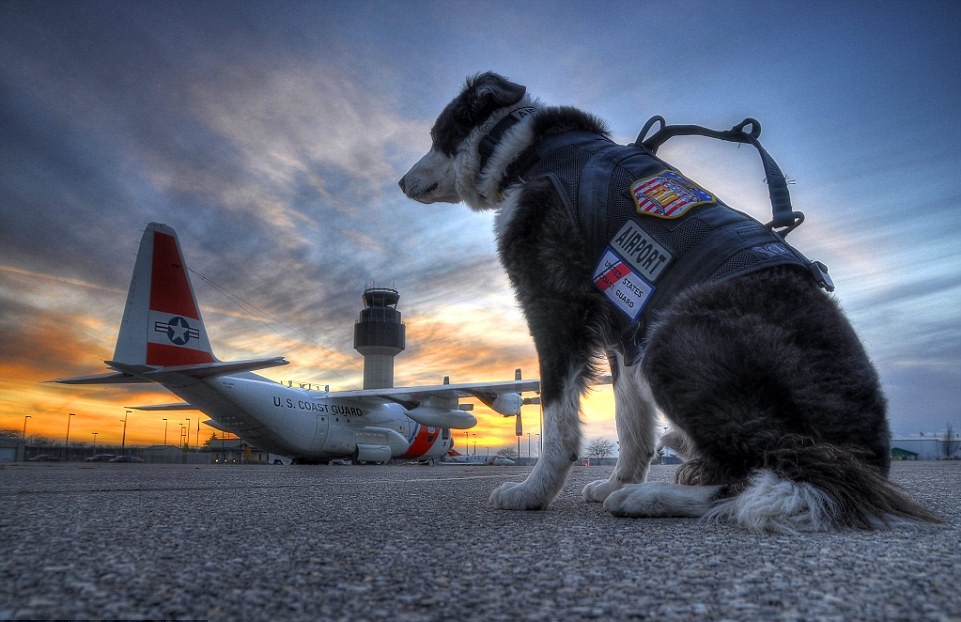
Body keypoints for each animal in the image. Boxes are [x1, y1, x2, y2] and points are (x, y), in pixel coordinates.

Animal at [400, 72, 936, 532]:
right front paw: (615, 479)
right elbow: (630, 420)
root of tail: (868, 456)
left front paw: (534, 492)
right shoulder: (622, 324)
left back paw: (650, 498)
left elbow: (557, 418)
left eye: (435, 135)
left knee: (760, 471)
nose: (402, 183)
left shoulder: (554, 305)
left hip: (674, 337)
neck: (527, 149)